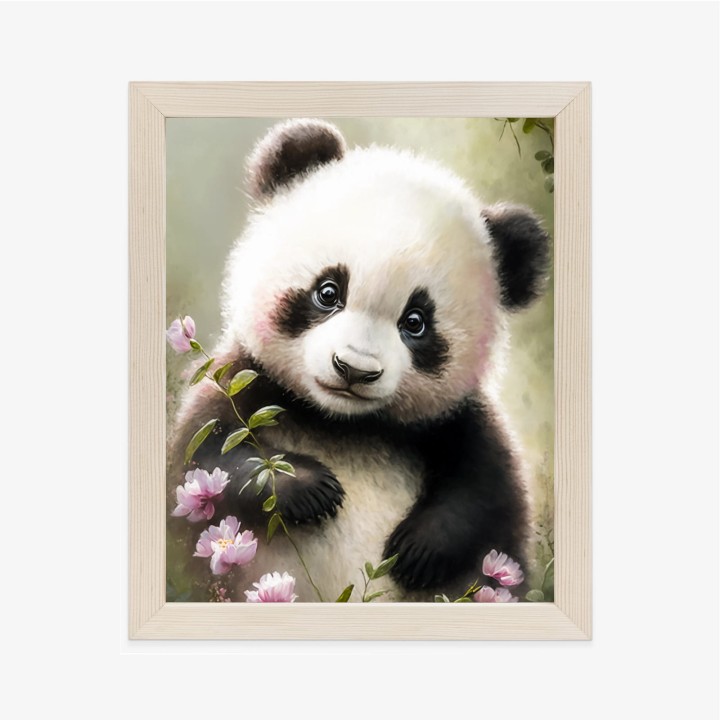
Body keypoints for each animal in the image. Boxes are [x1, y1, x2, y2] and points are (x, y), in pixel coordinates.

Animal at [169, 118, 550, 602]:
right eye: (328, 291)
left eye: (416, 322)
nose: (354, 369)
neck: (344, 424)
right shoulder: (243, 385)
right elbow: (205, 460)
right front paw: (310, 488)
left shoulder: (457, 422)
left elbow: (486, 493)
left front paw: (418, 549)